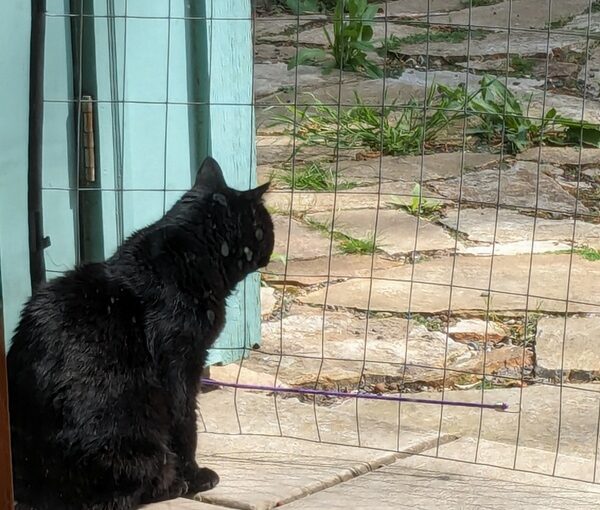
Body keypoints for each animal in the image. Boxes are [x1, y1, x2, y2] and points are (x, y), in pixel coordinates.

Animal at [7, 157, 274, 508]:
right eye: (266, 226)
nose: (271, 245)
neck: (186, 257)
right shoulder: (181, 366)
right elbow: (185, 425)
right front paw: (196, 477)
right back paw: (172, 485)